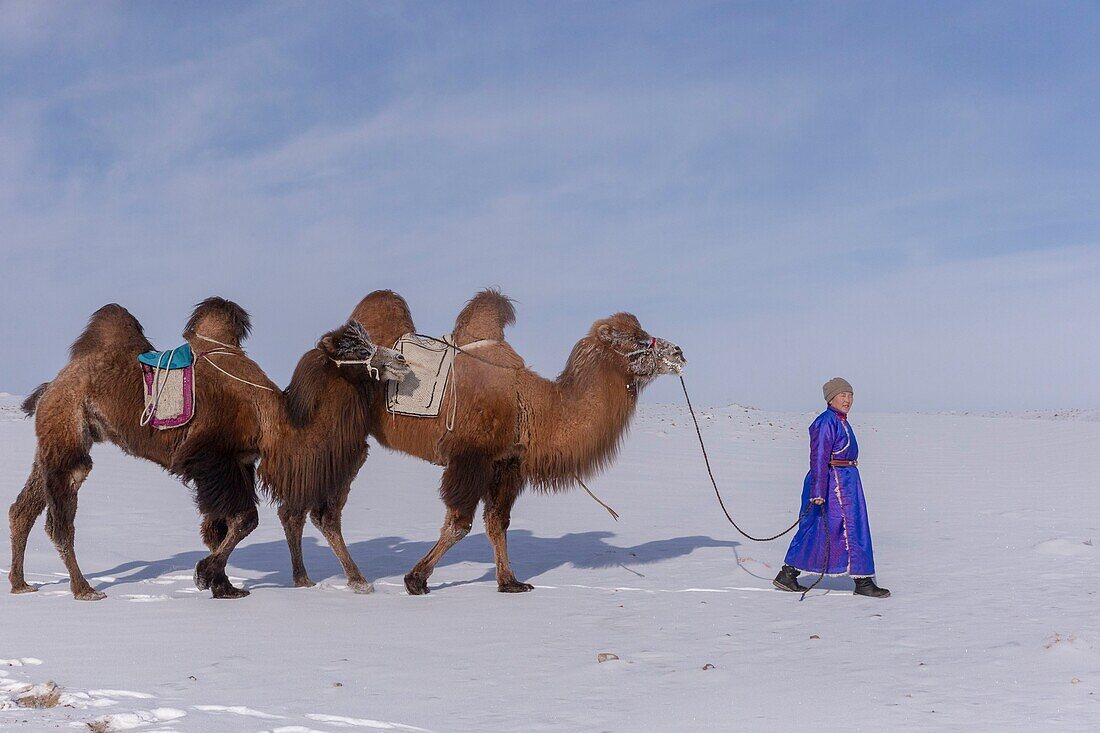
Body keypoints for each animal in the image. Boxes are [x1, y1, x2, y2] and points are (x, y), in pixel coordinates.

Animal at [8, 299, 407, 598]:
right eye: (354, 347)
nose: (400, 360)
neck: (277, 422)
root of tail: (52, 385)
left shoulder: (241, 462)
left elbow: (221, 524)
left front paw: (225, 587)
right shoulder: (212, 457)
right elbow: (244, 519)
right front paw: (205, 575)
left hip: (56, 436)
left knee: (23, 507)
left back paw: (20, 584)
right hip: (68, 429)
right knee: (62, 511)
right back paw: (84, 589)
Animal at [277, 286, 677, 594]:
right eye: (637, 339)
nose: (677, 353)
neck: (533, 405)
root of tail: (317, 353)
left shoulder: (506, 463)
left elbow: (497, 522)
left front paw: (510, 582)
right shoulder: (471, 458)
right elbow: (460, 523)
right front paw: (416, 580)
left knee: (300, 504)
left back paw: (306, 578)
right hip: (337, 434)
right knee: (320, 508)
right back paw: (355, 580)